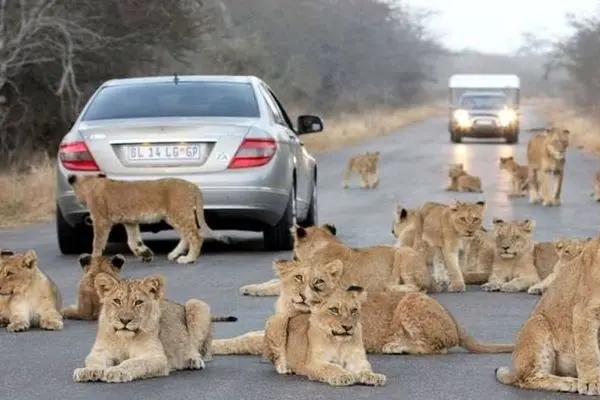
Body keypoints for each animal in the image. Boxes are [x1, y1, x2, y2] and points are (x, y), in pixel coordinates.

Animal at [67, 173, 227, 264]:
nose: (78, 200)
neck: (90, 183)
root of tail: (193, 186)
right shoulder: (130, 221)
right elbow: (133, 241)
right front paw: (145, 254)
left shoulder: (101, 221)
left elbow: (97, 243)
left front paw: (93, 260)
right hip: (174, 216)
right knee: (186, 236)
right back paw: (174, 254)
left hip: (179, 213)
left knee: (196, 236)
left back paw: (189, 259)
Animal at [494, 236, 600, 396]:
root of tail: (514, 370)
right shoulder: (584, 311)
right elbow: (588, 351)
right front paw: (591, 383)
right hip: (537, 324)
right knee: (529, 378)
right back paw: (571, 382)